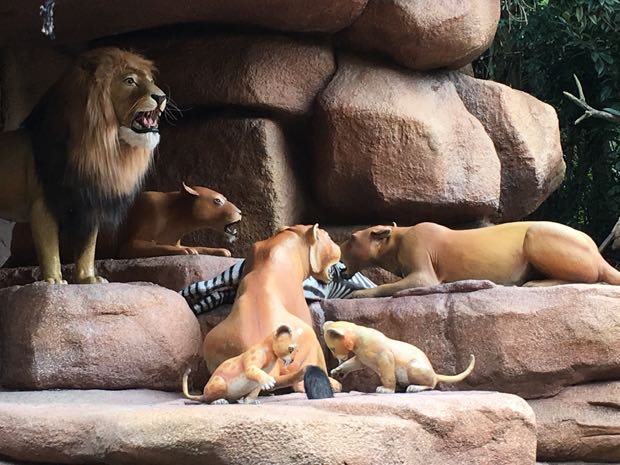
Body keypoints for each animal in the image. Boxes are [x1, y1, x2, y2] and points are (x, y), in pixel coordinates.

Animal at [0, 49, 167, 284]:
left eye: (151, 81)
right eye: (129, 81)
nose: (161, 97)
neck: (99, 148)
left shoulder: (89, 203)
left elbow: (87, 247)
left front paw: (88, 278)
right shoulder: (43, 204)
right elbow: (49, 247)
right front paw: (53, 280)